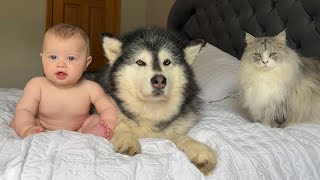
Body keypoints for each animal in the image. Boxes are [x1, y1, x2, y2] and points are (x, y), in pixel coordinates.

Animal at [99, 26, 216, 175]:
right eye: (140, 62)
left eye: (167, 62)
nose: (159, 80)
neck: (150, 110)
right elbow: (120, 124)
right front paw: (127, 139)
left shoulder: (166, 132)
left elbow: (178, 135)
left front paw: (197, 148)